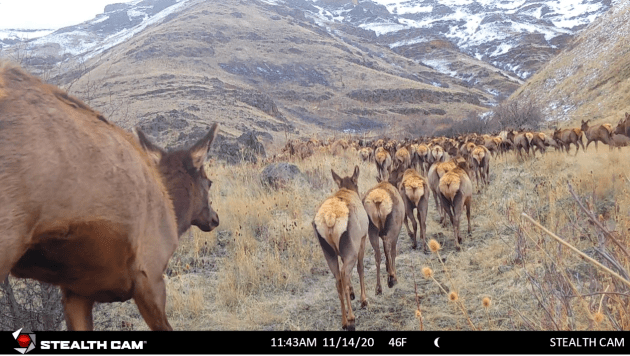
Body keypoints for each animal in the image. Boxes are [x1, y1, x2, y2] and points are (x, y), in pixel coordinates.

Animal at [312, 166, 368, 330]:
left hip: (329, 253)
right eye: (357, 183)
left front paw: (353, 292)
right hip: (350, 251)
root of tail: (330, 218)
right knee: (344, 274)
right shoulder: (362, 240)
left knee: (338, 279)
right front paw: (363, 300)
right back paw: (351, 319)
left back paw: (344, 321)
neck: (346, 189)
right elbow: (361, 268)